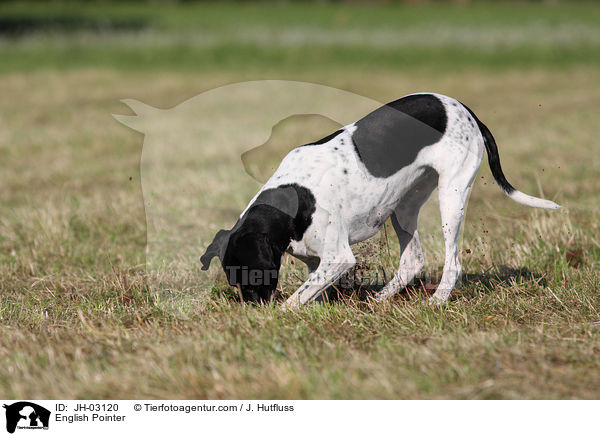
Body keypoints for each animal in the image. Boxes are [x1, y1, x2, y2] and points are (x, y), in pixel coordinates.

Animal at [200, 93, 556, 306]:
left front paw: (280, 313)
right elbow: (314, 290)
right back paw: (379, 300)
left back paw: (437, 301)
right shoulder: (317, 261)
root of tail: (466, 111)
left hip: (451, 196)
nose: (253, 309)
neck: (297, 195)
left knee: (452, 262)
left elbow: (295, 300)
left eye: (252, 274)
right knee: (412, 260)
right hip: (403, 206)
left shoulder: (338, 258)